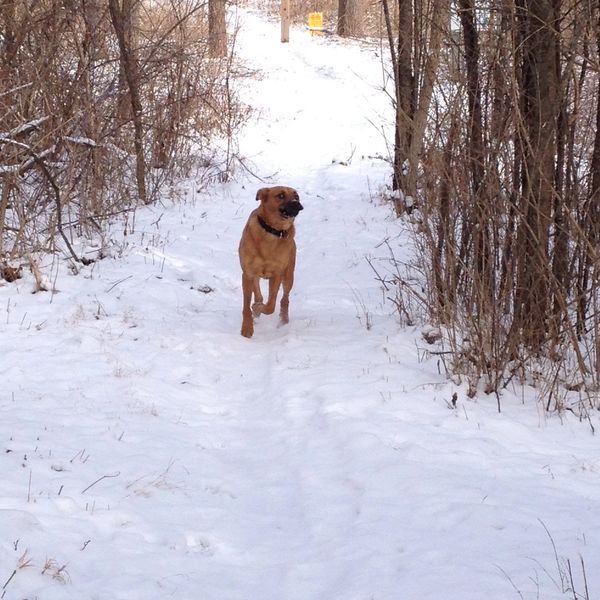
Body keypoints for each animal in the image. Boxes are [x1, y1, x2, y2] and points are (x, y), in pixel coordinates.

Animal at [239, 186, 304, 338]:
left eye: (297, 197)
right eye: (280, 195)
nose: (298, 204)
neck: (272, 231)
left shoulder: (277, 274)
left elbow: (271, 305)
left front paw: (258, 308)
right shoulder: (248, 274)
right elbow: (246, 304)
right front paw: (247, 327)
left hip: (288, 275)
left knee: (284, 299)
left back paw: (283, 320)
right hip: (255, 275)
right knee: (259, 294)